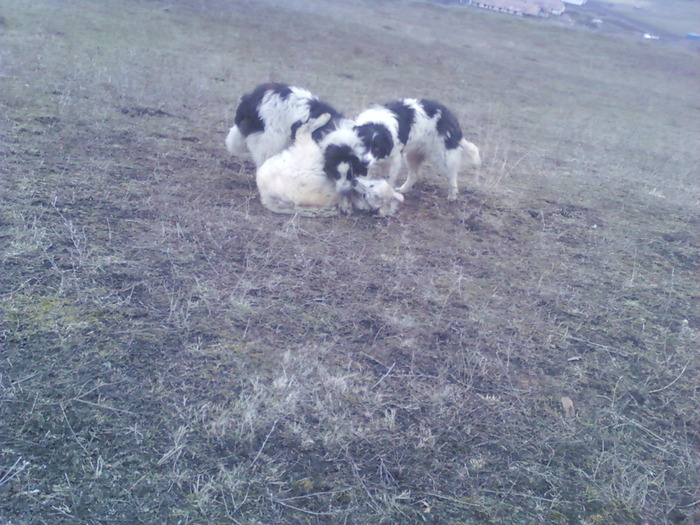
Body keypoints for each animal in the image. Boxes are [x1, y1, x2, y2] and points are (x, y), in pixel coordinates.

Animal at [254, 114, 402, 217]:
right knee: (303, 129)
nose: (354, 182)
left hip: (310, 150)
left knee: (303, 131)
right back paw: (324, 117)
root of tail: (265, 193)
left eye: (367, 195)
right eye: (372, 185)